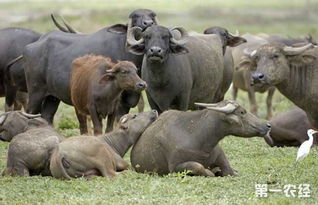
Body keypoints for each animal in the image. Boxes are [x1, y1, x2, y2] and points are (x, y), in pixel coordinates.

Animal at [130, 100, 272, 177]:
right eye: (242, 112)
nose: (267, 125)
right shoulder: (175, 168)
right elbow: (198, 166)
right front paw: (210, 172)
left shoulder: (220, 156)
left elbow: (229, 170)